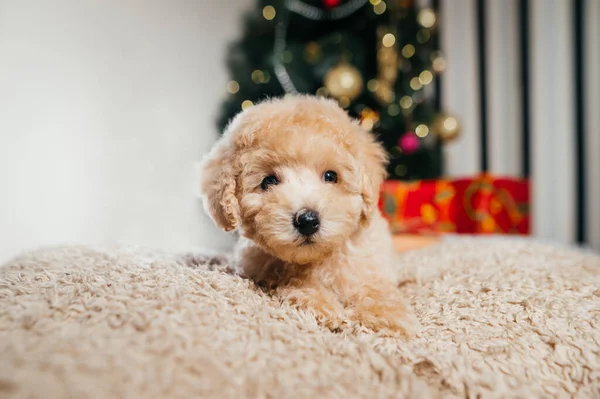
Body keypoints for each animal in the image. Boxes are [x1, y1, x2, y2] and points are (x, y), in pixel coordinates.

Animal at [199, 96, 420, 338]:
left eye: (331, 176)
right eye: (268, 181)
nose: (307, 221)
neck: (318, 258)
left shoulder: (370, 266)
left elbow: (377, 289)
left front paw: (385, 318)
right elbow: (294, 283)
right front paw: (323, 306)